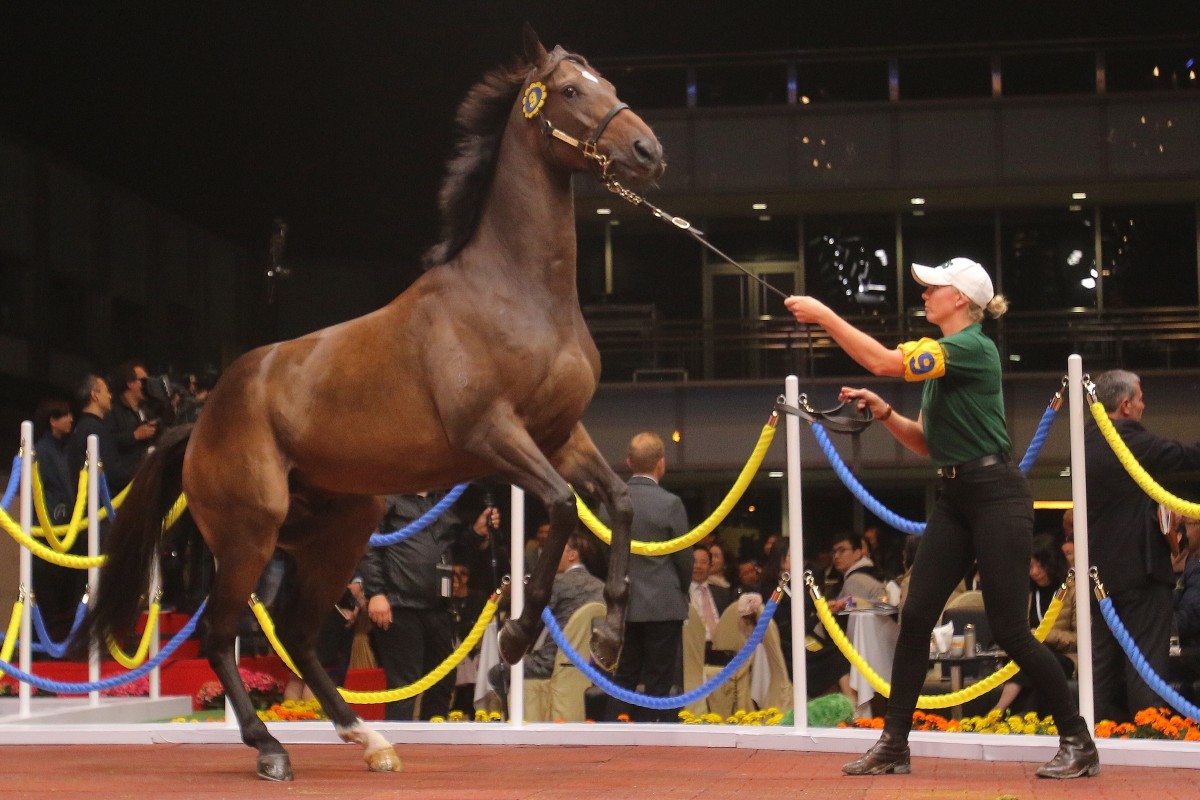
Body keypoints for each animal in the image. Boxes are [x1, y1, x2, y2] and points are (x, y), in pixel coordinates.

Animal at [82, 26, 665, 781]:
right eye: (570, 91)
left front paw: (609, 640)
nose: (647, 151)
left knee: (298, 634)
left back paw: (369, 737)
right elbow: (564, 507)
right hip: (249, 534)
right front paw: (511, 640)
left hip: (341, 529)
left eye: (609, 85)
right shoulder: (492, 435)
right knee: (218, 634)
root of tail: (200, 419)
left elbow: (618, 503)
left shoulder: (560, 434)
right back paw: (270, 748)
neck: (517, 293)